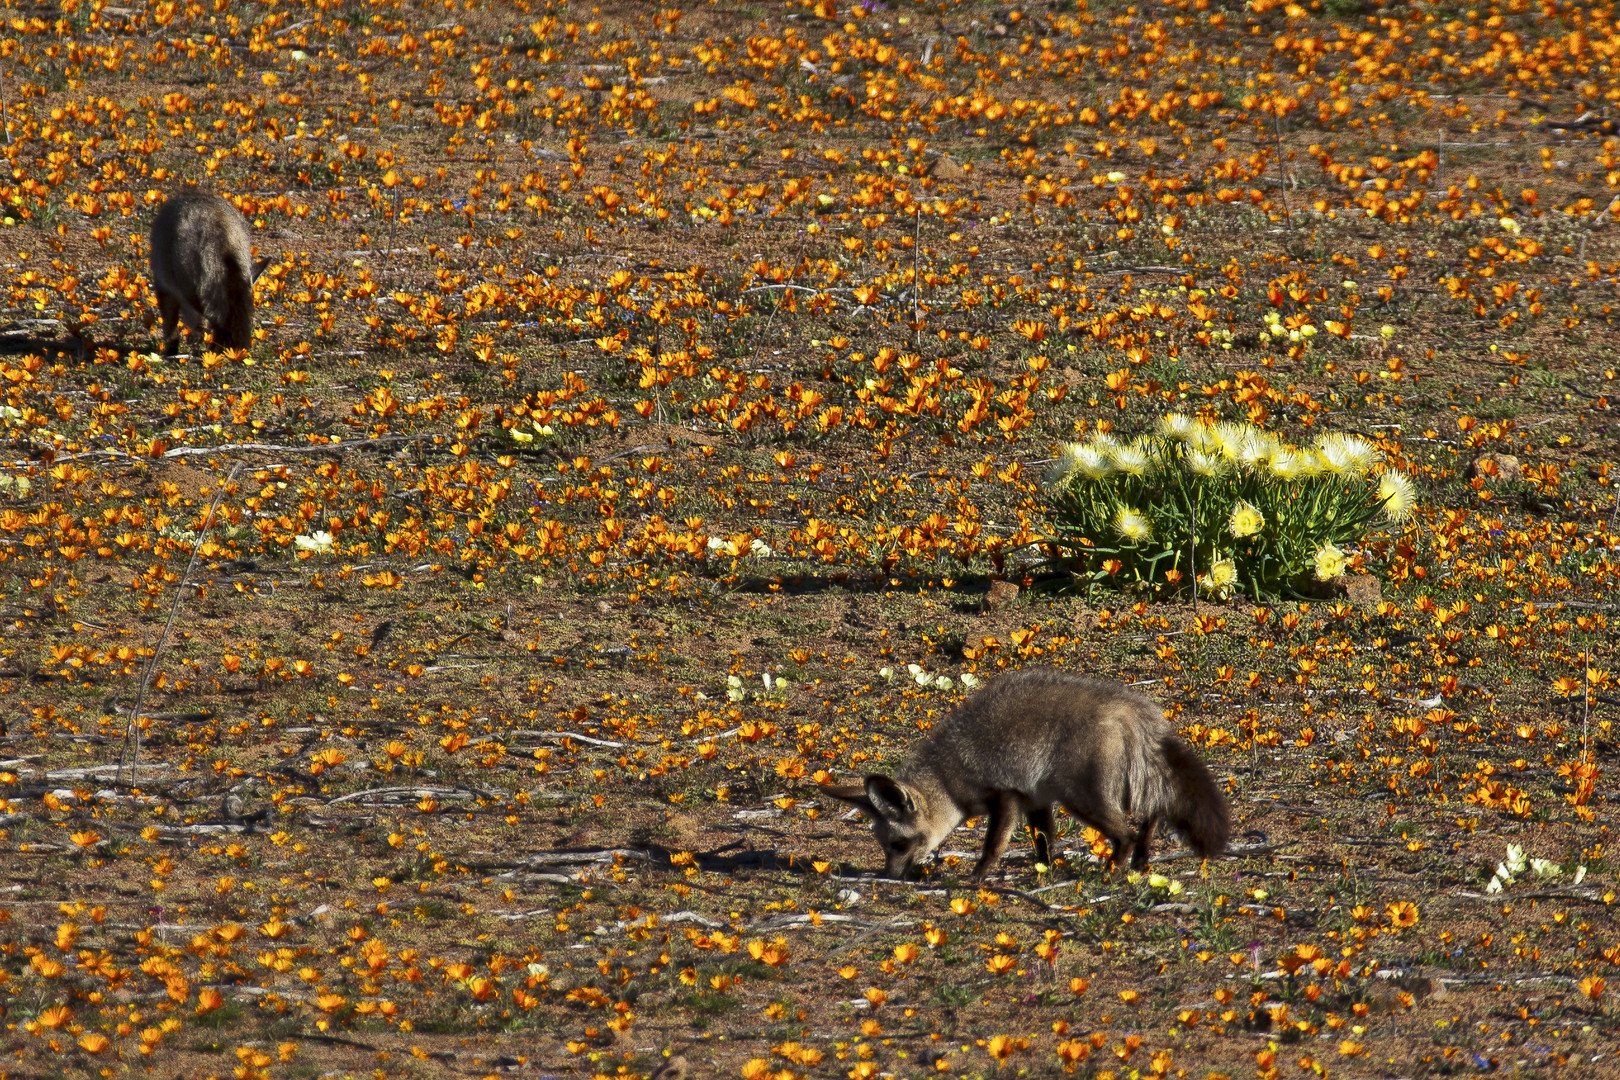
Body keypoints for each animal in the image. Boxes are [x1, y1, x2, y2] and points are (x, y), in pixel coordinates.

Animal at [149, 191, 272, 356]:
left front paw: (171, 351)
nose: (198, 338)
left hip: (195, 290)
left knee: (218, 319)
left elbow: (171, 326)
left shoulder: (164, 285)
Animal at [822, 670, 1224, 880]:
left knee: (1127, 832)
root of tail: (1132, 704)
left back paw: (1113, 869)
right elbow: (1044, 843)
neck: (948, 774)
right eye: (885, 847)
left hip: (1083, 799)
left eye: (899, 845)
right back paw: (1141, 861)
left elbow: (993, 845)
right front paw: (1043, 872)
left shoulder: (1006, 796)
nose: (888, 876)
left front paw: (978, 877)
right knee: (1153, 812)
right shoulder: (1036, 800)